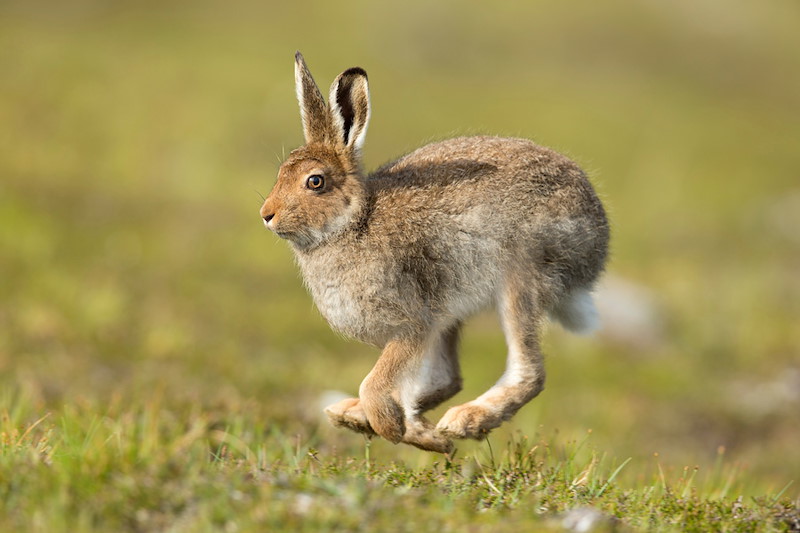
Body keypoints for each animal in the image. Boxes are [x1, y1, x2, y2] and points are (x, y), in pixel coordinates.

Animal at [259, 52, 609, 453]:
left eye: (315, 182)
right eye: (281, 173)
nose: (266, 214)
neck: (354, 221)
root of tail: (598, 233)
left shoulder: (412, 322)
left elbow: (376, 380)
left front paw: (390, 426)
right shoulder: (428, 323)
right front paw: (403, 428)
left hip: (521, 275)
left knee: (528, 371)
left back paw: (464, 421)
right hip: (451, 303)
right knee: (448, 376)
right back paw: (380, 421)